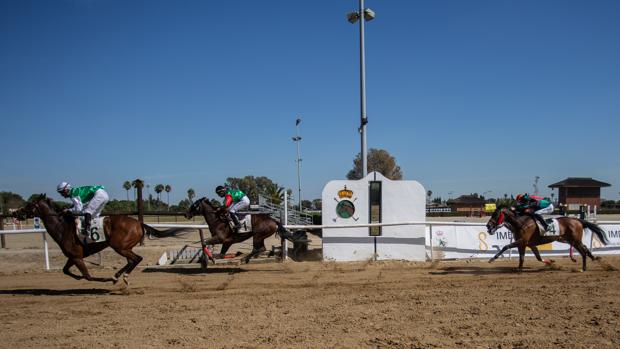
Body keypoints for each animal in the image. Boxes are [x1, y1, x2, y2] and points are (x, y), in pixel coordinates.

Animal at [13, 193, 188, 282]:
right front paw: (78, 277)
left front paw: (97, 279)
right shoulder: (73, 256)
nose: (15, 213)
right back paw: (118, 275)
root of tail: (138, 223)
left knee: (136, 259)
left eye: (29, 205)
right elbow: (65, 270)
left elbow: (88, 276)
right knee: (131, 260)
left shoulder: (77, 257)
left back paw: (119, 276)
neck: (62, 227)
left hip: (119, 246)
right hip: (123, 246)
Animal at [484, 205, 612, 270]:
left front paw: (492, 259)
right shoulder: (528, 244)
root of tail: (578, 220)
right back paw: (595, 259)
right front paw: (551, 262)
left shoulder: (522, 241)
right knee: (585, 248)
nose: (488, 226)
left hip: (574, 240)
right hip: (569, 239)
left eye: (495, 214)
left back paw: (584, 268)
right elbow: (532, 257)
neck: (521, 223)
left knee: (583, 251)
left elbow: (506, 247)